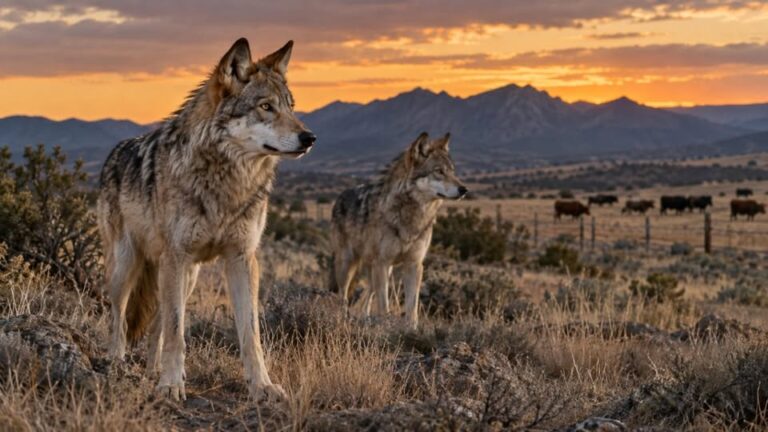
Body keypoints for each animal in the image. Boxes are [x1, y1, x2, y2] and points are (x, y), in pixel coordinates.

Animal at [97, 37, 315, 401]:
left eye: (291, 107)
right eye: (265, 107)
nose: (309, 138)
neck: (228, 183)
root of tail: (114, 152)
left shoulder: (242, 258)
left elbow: (250, 335)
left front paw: (262, 386)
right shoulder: (177, 255)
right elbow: (176, 332)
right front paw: (171, 386)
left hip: (186, 276)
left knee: (157, 324)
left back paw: (153, 370)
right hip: (128, 267)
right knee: (120, 318)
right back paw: (117, 363)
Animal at [328, 132, 467, 328]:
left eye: (453, 171)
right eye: (439, 171)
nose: (464, 189)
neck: (411, 217)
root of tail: (340, 196)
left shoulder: (414, 264)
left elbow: (412, 309)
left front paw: (411, 331)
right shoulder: (382, 262)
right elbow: (384, 306)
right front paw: (385, 328)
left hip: (381, 270)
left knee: (365, 298)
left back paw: (364, 319)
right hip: (347, 265)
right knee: (343, 297)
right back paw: (343, 320)